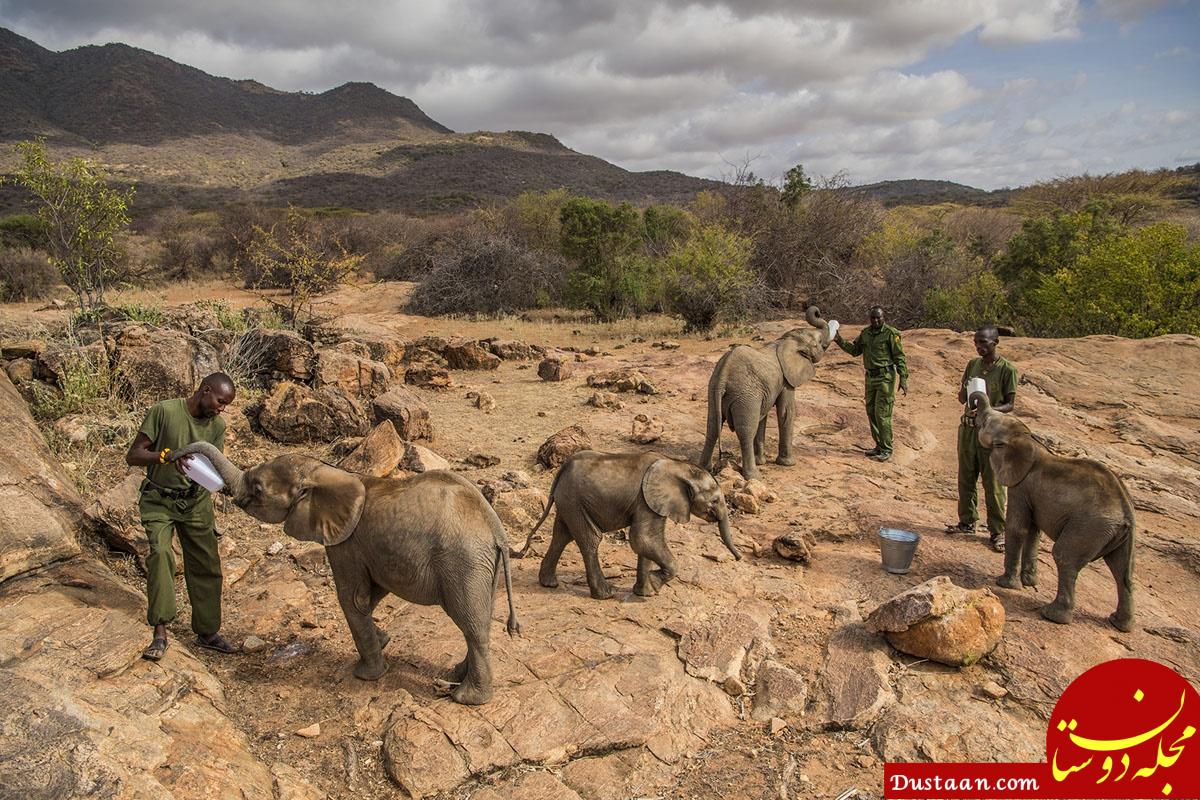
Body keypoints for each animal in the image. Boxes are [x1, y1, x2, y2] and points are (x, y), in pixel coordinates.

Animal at [172, 441, 516, 705]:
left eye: (257, 488)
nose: (179, 458)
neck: (327, 472)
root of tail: (496, 529)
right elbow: (372, 595)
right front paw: (384, 640)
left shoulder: (345, 542)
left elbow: (353, 599)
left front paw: (365, 675)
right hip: (482, 567)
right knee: (480, 619)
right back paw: (455, 676)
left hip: (463, 562)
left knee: (471, 624)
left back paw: (466, 699)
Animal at [513, 450, 739, 599]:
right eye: (715, 500)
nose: (739, 558)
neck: (677, 465)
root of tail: (561, 470)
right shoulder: (646, 500)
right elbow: (642, 539)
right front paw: (654, 585)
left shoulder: (652, 503)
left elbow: (646, 543)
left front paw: (646, 593)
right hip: (574, 500)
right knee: (590, 539)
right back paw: (605, 594)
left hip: (569, 501)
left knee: (562, 535)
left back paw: (549, 584)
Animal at [974, 393, 1132, 633]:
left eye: (985, 424)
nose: (972, 408)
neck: (1030, 439)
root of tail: (1125, 514)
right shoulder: (1033, 494)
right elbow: (1033, 532)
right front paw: (1029, 582)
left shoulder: (1021, 485)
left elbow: (1018, 529)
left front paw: (1005, 584)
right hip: (1118, 536)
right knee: (1122, 570)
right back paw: (1118, 623)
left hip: (1090, 526)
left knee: (1065, 556)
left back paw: (1052, 615)